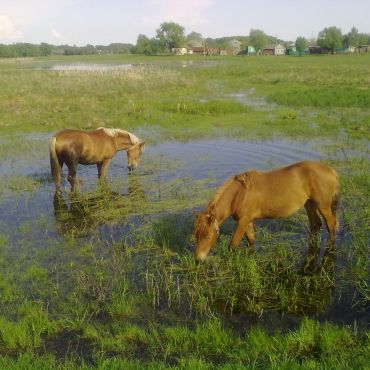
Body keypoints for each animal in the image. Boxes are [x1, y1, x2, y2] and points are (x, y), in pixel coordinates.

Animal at [195, 160, 340, 262]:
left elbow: (233, 245)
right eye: (196, 235)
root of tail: (332, 171)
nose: (198, 260)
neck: (240, 194)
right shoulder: (247, 221)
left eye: (208, 235)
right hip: (309, 204)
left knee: (330, 225)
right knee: (315, 224)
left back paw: (332, 248)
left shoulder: (243, 221)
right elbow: (251, 241)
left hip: (323, 206)